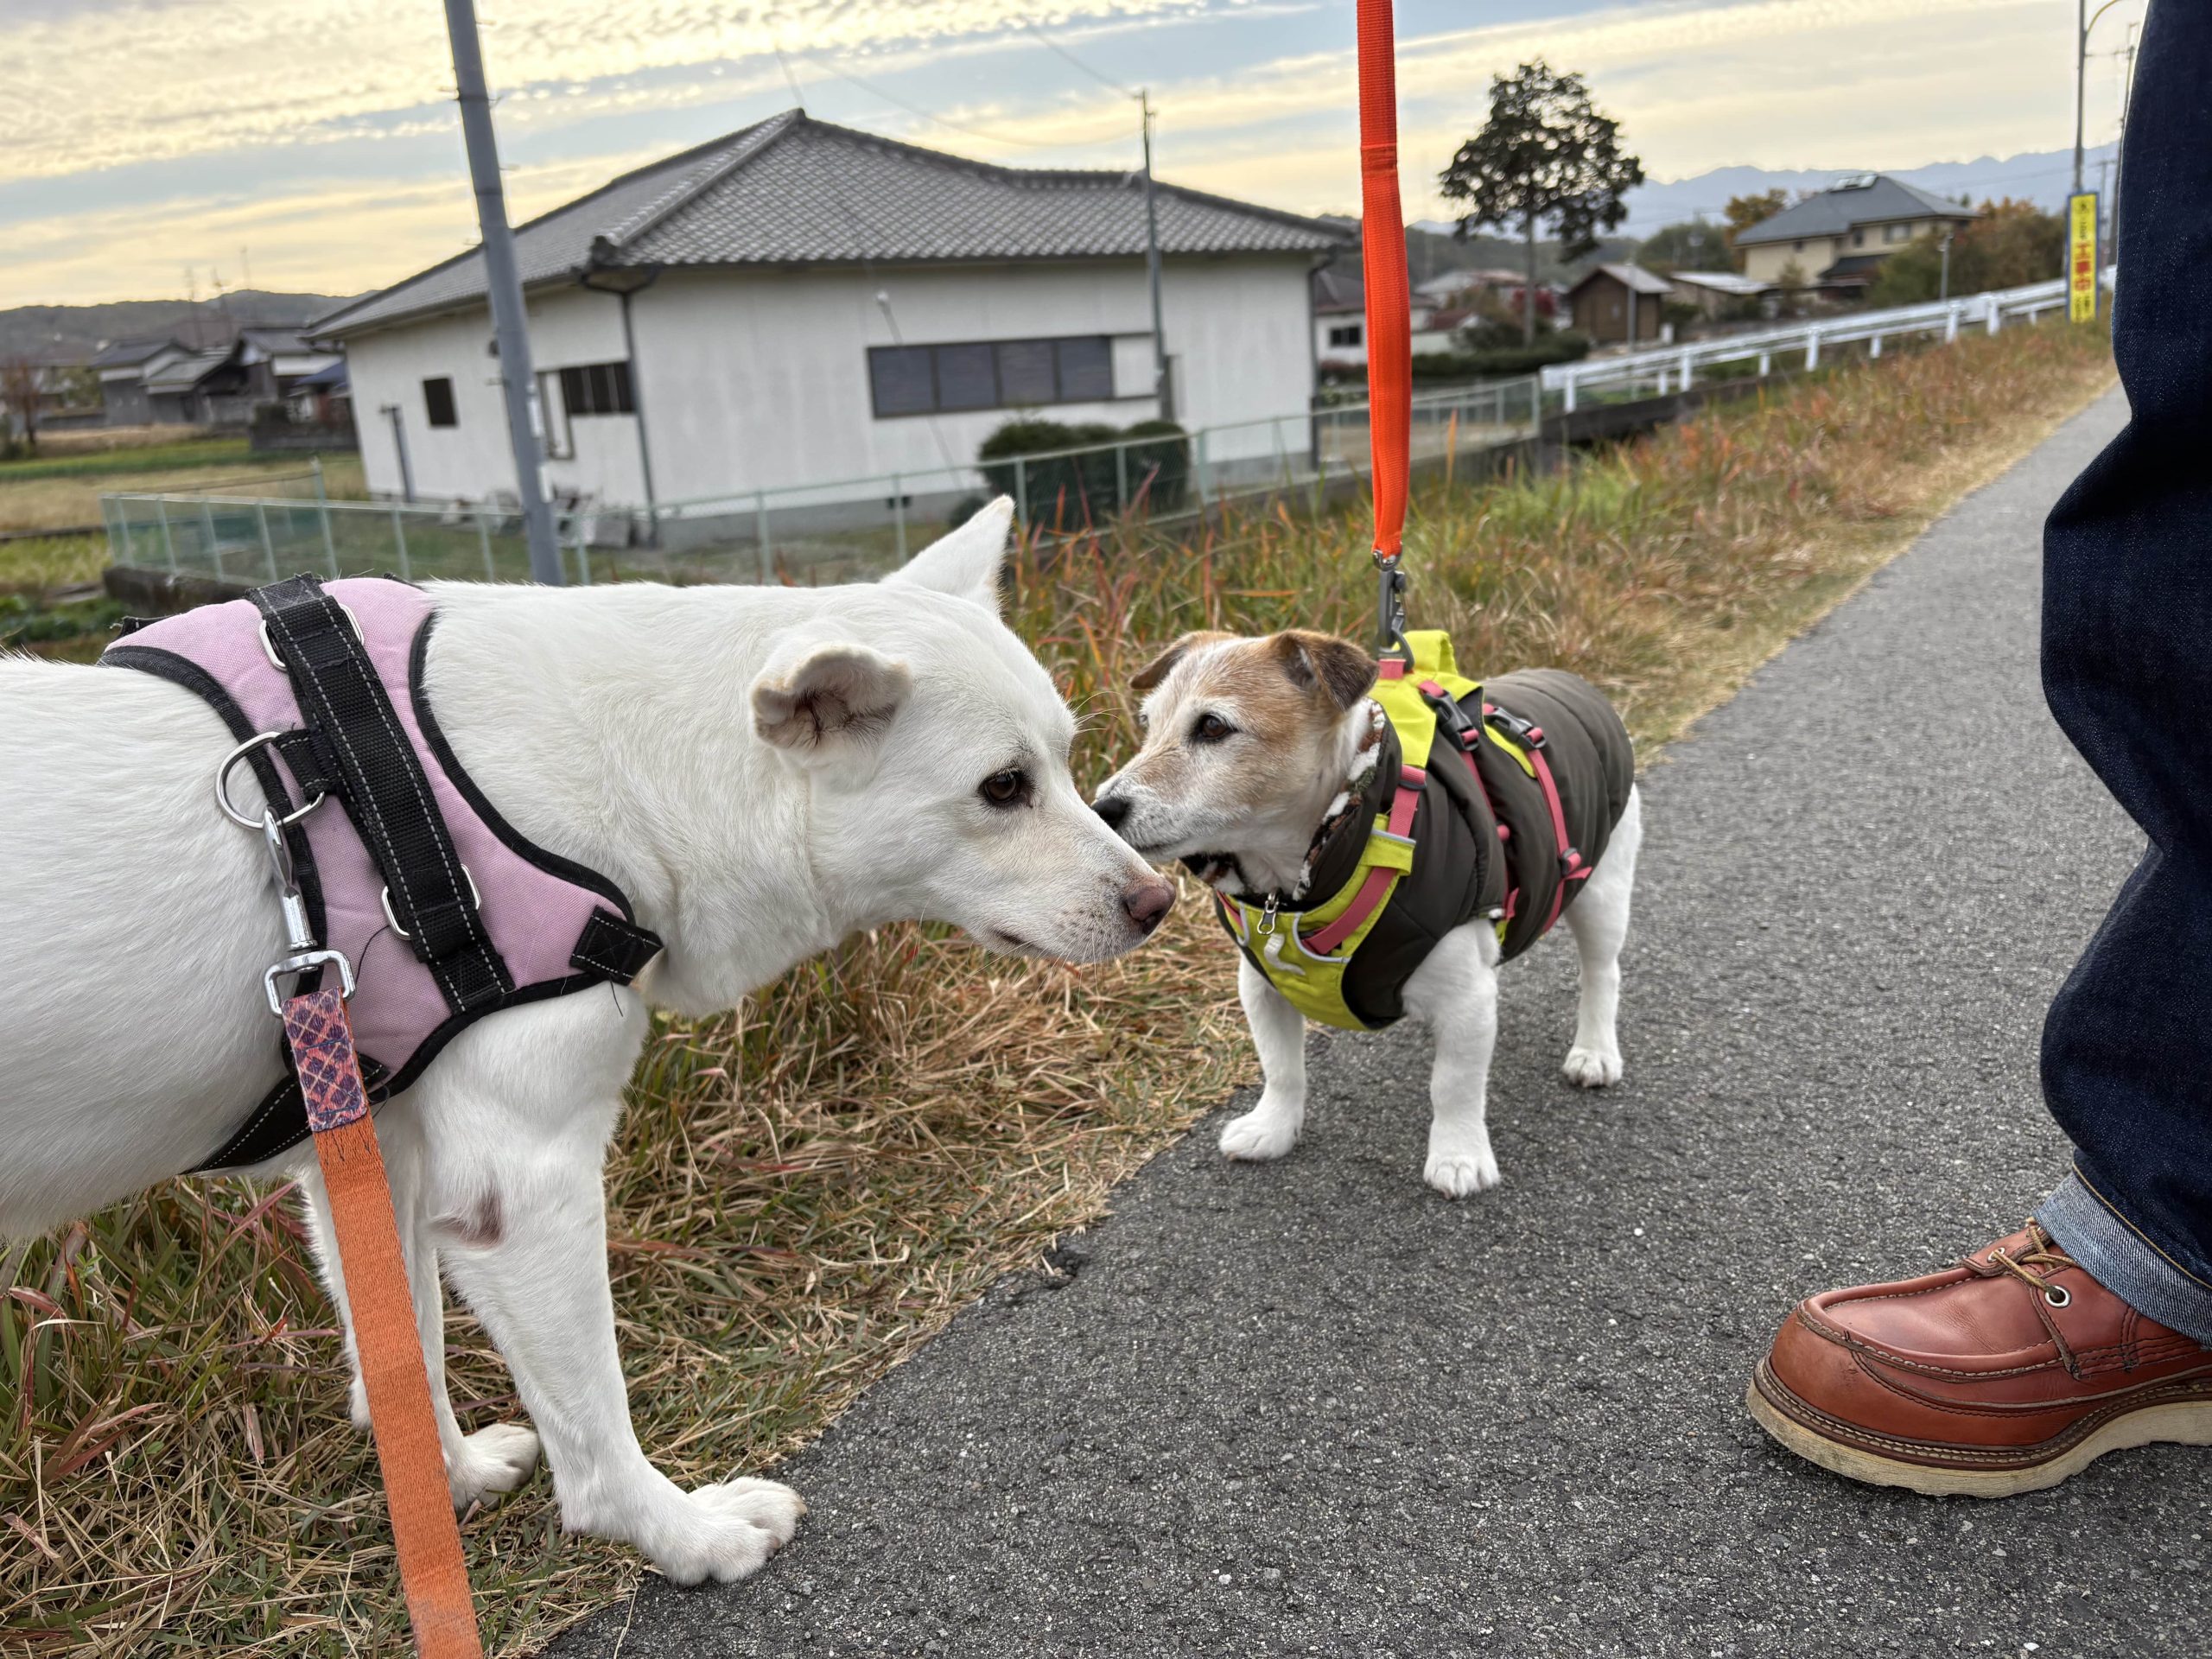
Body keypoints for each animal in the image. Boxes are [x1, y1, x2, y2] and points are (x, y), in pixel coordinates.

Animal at [0, 498, 1174, 1584]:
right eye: (1002, 789)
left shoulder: (374, 1150)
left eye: (1064, 763)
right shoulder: (520, 1186)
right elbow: (596, 1435)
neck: (627, 767)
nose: (1159, 903)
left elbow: (403, 1357)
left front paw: (449, 1483)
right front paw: (687, 1537)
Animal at [1092, 628, 1639, 1198]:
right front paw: (1273, 1128)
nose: (1101, 808)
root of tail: (1572, 682)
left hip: (1602, 888)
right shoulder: (1261, 986)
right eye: (1148, 725)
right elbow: (1281, 1067)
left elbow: (1454, 1085)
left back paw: (1595, 1051)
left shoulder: (1466, 999)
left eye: (1213, 726)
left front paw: (1459, 1155)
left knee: (1602, 973)